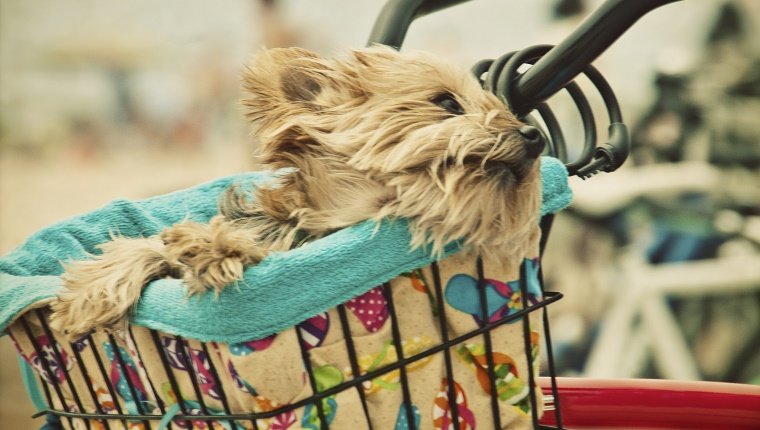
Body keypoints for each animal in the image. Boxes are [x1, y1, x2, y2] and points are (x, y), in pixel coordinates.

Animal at [49, 46, 548, 336]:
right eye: (447, 103)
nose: (534, 136)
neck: (342, 220)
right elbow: (148, 245)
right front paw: (89, 296)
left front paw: (214, 248)